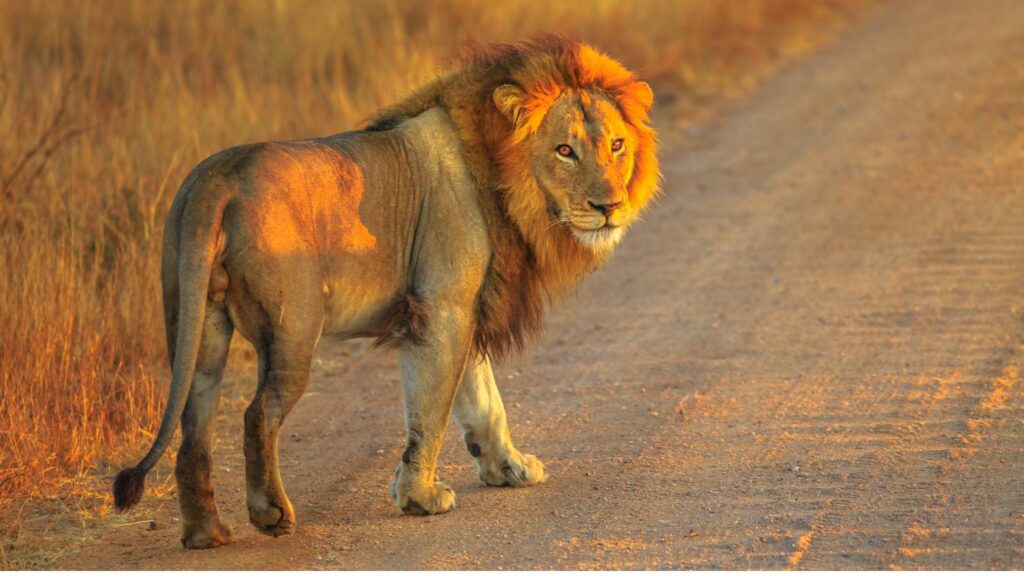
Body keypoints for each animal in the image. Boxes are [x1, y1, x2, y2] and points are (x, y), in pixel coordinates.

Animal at [112, 37, 659, 549]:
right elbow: (431, 410)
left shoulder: (467, 306)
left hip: (198, 325)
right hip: (293, 330)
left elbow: (484, 400)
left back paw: (206, 533)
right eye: (565, 151)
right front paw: (420, 498)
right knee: (257, 414)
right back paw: (270, 513)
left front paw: (509, 468)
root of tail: (217, 180)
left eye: (616, 145)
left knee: (194, 428)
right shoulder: (442, 307)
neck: (504, 176)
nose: (610, 206)